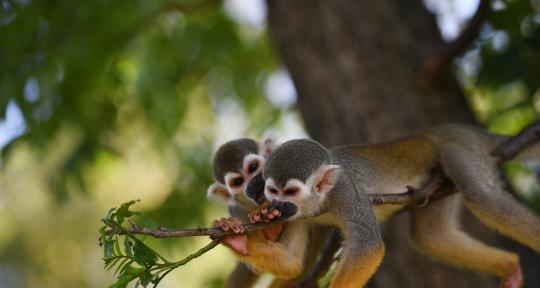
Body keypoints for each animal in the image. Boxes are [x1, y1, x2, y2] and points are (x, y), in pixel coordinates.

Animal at [249, 125, 540, 288]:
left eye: (291, 192)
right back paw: (509, 264)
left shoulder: (345, 190)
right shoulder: (296, 216)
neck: (317, 201)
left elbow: (368, 245)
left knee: (483, 197)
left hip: (459, 149)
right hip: (438, 180)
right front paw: (243, 241)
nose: (277, 203)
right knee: (430, 236)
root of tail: (451, 128)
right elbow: (293, 262)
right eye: (273, 191)